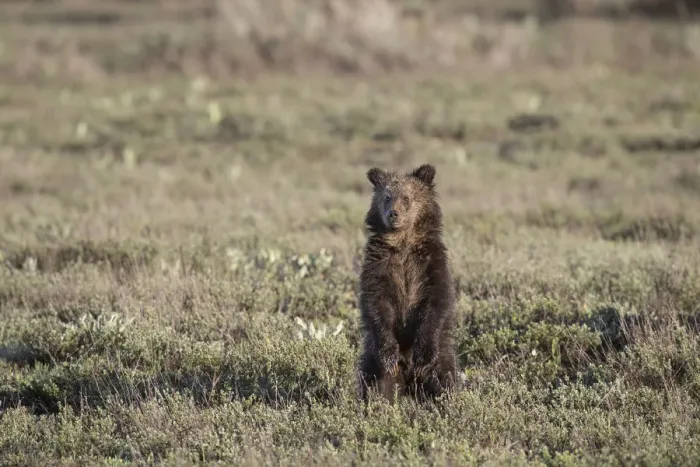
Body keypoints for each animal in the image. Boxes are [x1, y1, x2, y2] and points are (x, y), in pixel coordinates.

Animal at [357, 163, 459, 403]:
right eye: (386, 197)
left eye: (406, 197)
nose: (393, 214)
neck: (402, 244)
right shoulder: (378, 266)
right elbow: (376, 303)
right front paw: (389, 357)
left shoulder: (430, 265)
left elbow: (436, 304)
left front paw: (423, 358)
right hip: (371, 359)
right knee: (373, 380)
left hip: (444, 354)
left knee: (444, 376)